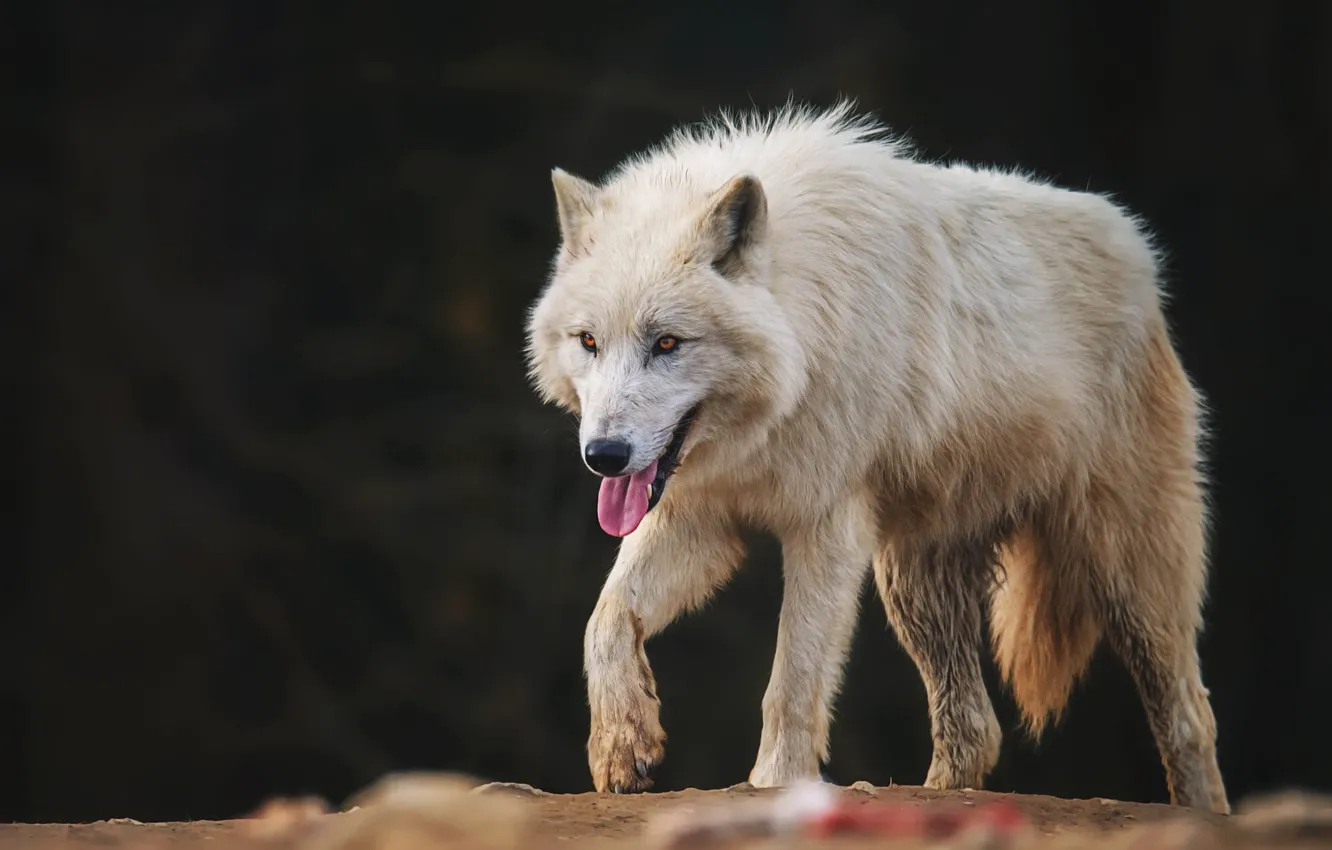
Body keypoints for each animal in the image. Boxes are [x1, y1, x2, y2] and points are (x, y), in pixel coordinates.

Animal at [524, 101, 1230, 813]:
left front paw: (776, 785)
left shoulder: (827, 528)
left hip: (1125, 571)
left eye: (667, 343)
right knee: (976, 728)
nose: (604, 455)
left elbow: (793, 680)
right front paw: (622, 746)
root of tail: (1136, 249)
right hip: (914, 585)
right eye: (588, 341)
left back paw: (1202, 812)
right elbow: (604, 621)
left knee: (1189, 715)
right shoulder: (701, 516)